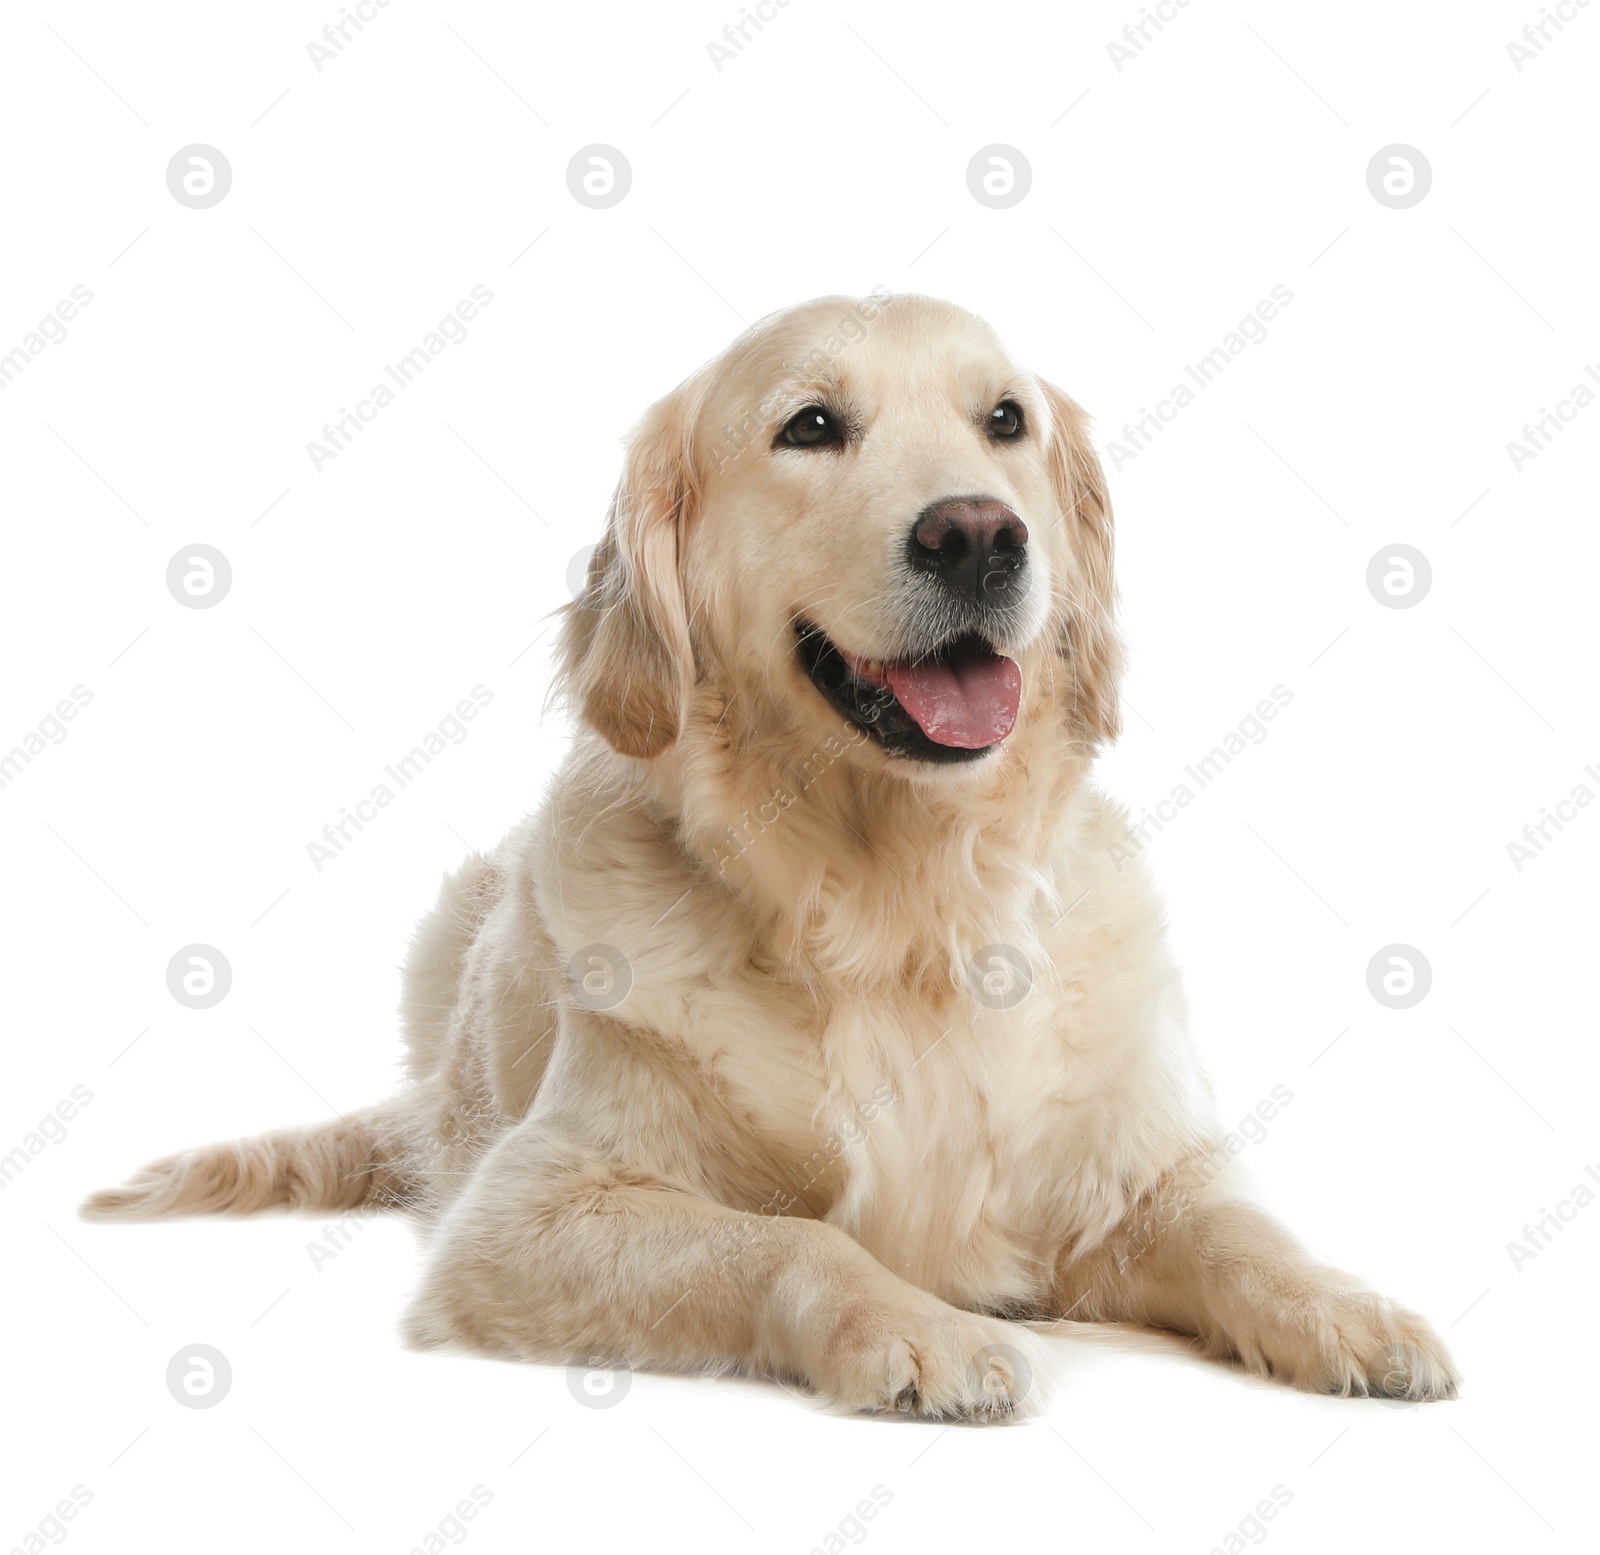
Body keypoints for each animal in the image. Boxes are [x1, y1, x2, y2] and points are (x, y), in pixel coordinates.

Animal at [87, 294, 1465, 1420]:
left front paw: (1347, 1306)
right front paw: (924, 1331)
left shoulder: (1129, 1173)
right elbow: (790, 1241)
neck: (900, 909)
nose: (979, 535)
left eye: (1004, 420)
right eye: (809, 426)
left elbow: (1237, 1230)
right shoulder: (525, 1211)